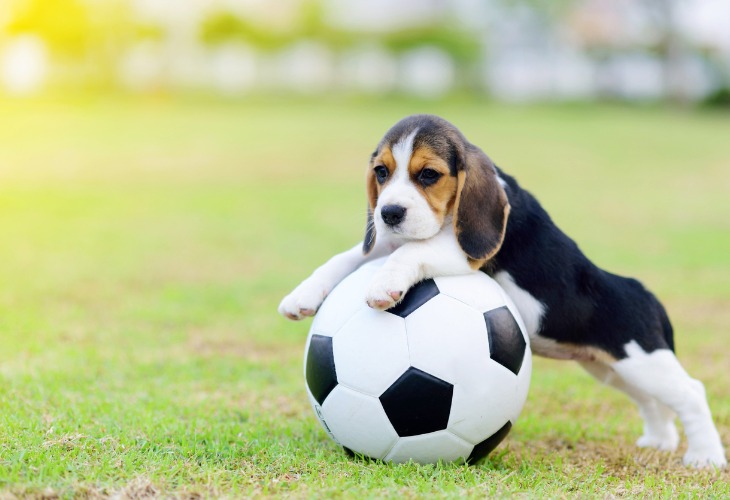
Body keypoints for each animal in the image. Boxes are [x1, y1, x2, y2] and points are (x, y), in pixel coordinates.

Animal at [278, 114, 724, 468]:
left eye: (428, 175)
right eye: (382, 173)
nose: (388, 213)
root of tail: (647, 295)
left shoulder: (461, 250)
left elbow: (413, 251)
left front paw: (385, 284)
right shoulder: (390, 239)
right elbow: (349, 255)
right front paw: (303, 294)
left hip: (643, 360)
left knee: (691, 393)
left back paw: (705, 456)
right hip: (612, 368)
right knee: (652, 402)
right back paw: (659, 441)